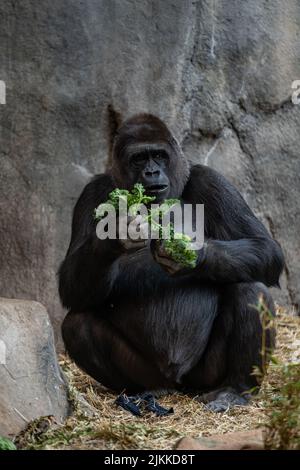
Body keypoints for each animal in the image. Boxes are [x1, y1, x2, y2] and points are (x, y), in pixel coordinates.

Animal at [58, 113, 284, 412]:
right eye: (139, 159)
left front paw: (191, 255)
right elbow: (70, 285)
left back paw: (235, 389)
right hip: (150, 372)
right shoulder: (92, 193)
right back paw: (144, 390)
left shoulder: (211, 181)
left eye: (158, 155)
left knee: (251, 291)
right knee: (77, 324)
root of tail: (178, 382)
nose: (152, 173)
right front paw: (117, 233)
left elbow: (265, 248)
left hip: (204, 375)